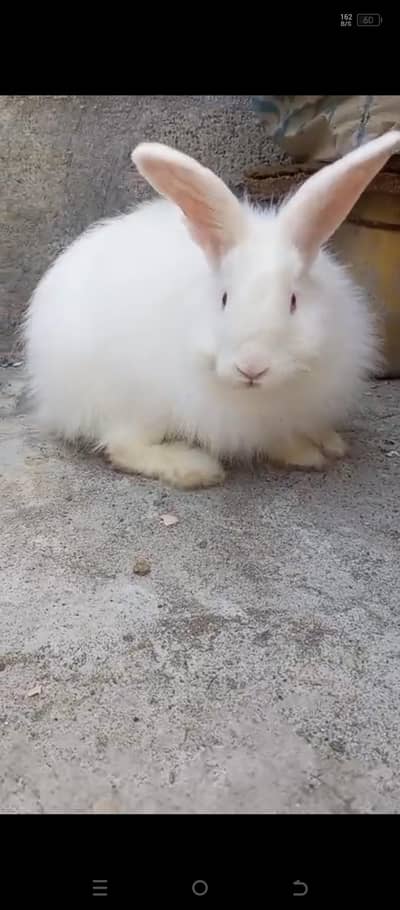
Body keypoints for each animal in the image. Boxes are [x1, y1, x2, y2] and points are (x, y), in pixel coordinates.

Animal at [23, 129, 400, 489]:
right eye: (224, 299)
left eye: (293, 301)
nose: (252, 368)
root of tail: (49, 390)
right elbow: (275, 442)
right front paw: (306, 455)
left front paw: (326, 444)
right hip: (134, 401)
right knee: (122, 446)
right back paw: (193, 468)